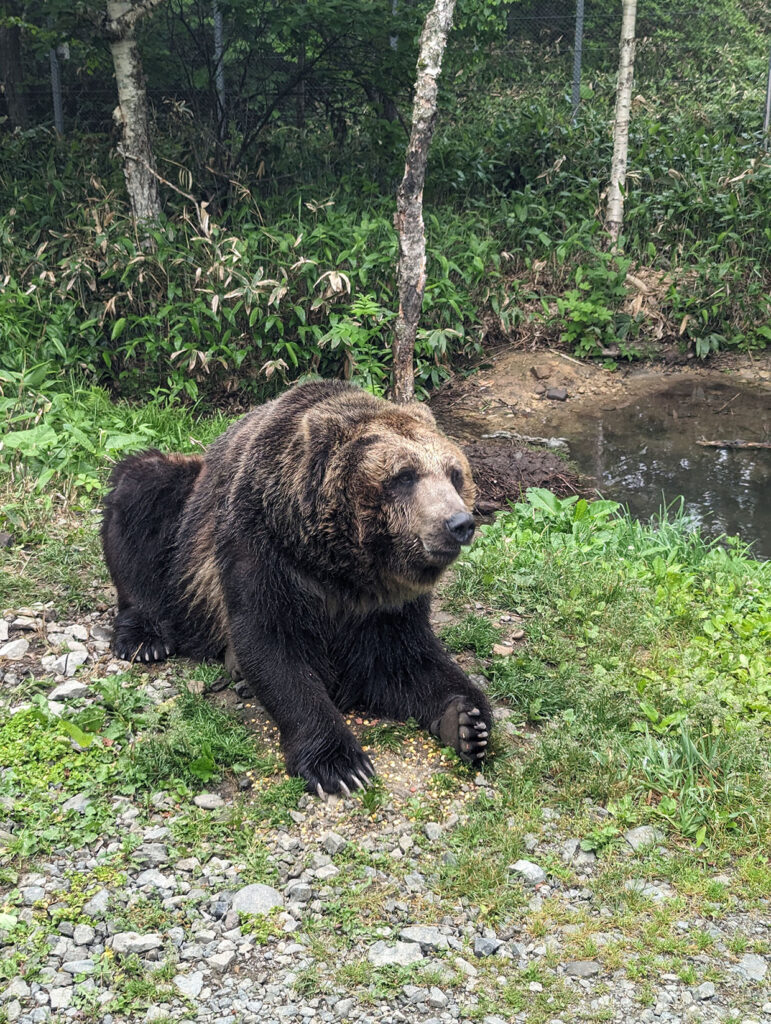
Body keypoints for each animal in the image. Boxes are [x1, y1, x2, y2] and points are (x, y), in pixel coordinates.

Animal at [100, 380, 493, 794]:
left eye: (454, 474)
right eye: (404, 475)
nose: (459, 523)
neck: (342, 567)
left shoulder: (387, 604)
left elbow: (405, 659)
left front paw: (466, 721)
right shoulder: (264, 549)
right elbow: (273, 644)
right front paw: (341, 764)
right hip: (185, 534)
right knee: (143, 490)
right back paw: (145, 639)